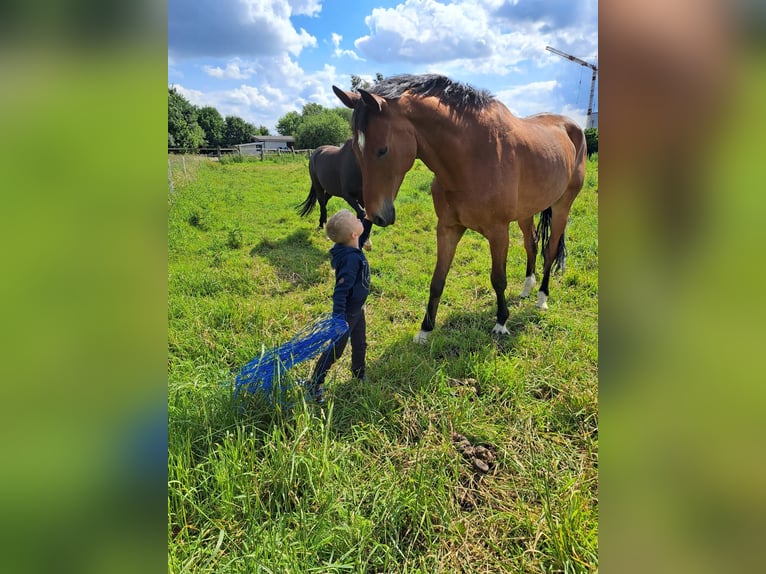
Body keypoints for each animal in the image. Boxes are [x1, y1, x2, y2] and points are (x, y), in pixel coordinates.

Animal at [332, 77, 592, 346]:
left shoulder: (498, 232)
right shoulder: (448, 228)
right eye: (356, 151)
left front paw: (501, 322)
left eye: (382, 150)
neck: (472, 157)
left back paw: (542, 298)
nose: (376, 215)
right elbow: (437, 280)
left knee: (549, 250)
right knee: (531, 243)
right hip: (526, 212)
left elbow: (498, 279)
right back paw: (527, 288)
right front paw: (425, 330)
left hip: (562, 205)